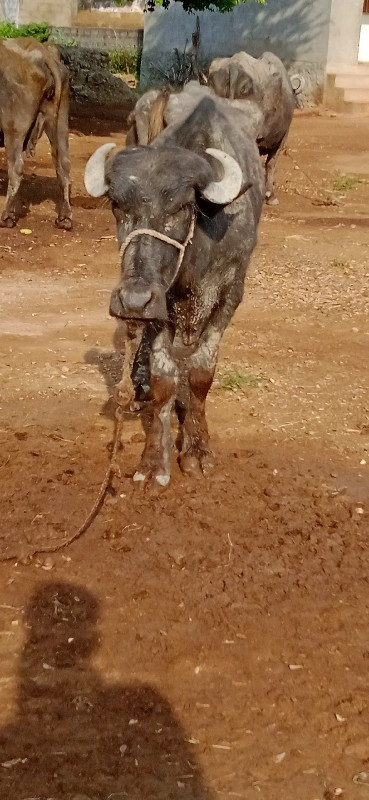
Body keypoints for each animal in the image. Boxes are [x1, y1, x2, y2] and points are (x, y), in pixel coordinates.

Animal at [0, 38, 71, 230]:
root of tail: (45, 53)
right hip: (60, 121)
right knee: (63, 164)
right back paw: (65, 218)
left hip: (13, 128)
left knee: (16, 168)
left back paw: (6, 217)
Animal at [85, 88, 264, 488]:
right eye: (117, 205)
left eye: (182, 207)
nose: (133, 300)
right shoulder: (160, 304)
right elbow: (164, 378)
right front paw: (154, 460)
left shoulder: (231, 295)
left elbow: (200, 373)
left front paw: (197, 450)